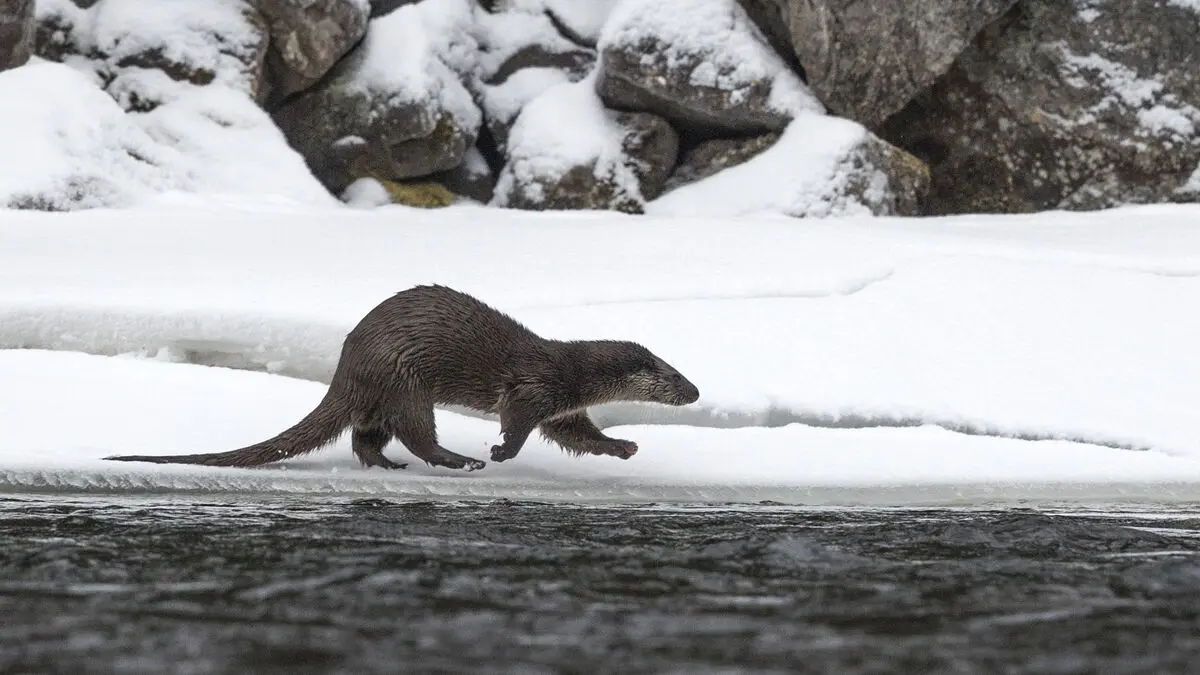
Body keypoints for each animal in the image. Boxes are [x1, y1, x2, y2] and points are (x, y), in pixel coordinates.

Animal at [104, 284, 700, 471]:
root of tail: (346, 366)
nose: (695, 391)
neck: (573, 370)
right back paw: (462, 461)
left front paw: (624, 446)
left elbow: (579, 435)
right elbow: (518, 421)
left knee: (366, 435)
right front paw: (501, 452)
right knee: (417, 434)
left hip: (383, 393)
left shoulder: (564, 407)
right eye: (672, 376)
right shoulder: (536, 387)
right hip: (405, 379)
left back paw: (384, 464)